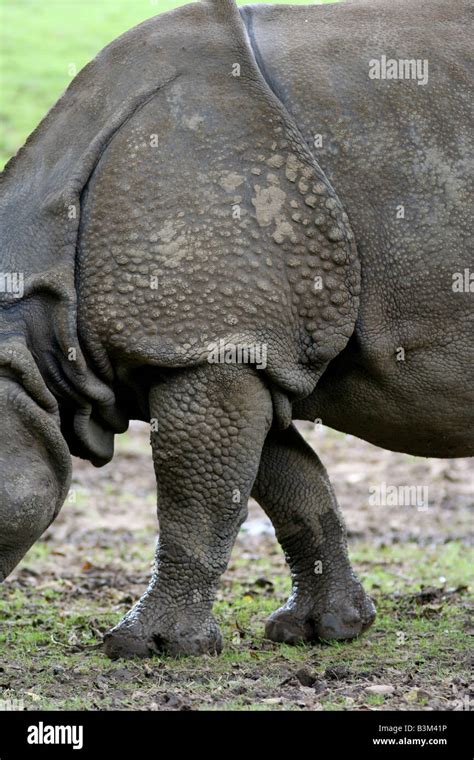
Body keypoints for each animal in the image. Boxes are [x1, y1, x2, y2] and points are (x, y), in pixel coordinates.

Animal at [0, 0, 472, 658]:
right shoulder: (236, 347)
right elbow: (289, 486)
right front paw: (324, 630)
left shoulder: (208, 347)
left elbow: (194, 503)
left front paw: (149, 646)